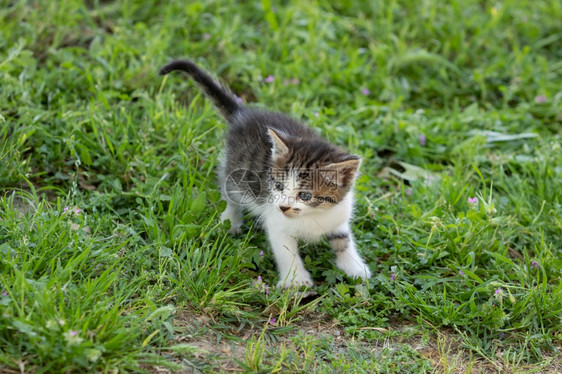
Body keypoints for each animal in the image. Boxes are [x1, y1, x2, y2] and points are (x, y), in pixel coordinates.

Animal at [159, 60, 368, 288]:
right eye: (278, 186)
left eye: (305, 196)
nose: (283, 207)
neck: (313, 216)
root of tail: (242, 114)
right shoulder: (276, 223)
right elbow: (286, 251)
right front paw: (296, 280)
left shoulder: (338, 217)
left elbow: (343, 241)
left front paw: (355, 268)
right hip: (235, 172)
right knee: (230, 193)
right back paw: (230, 221)